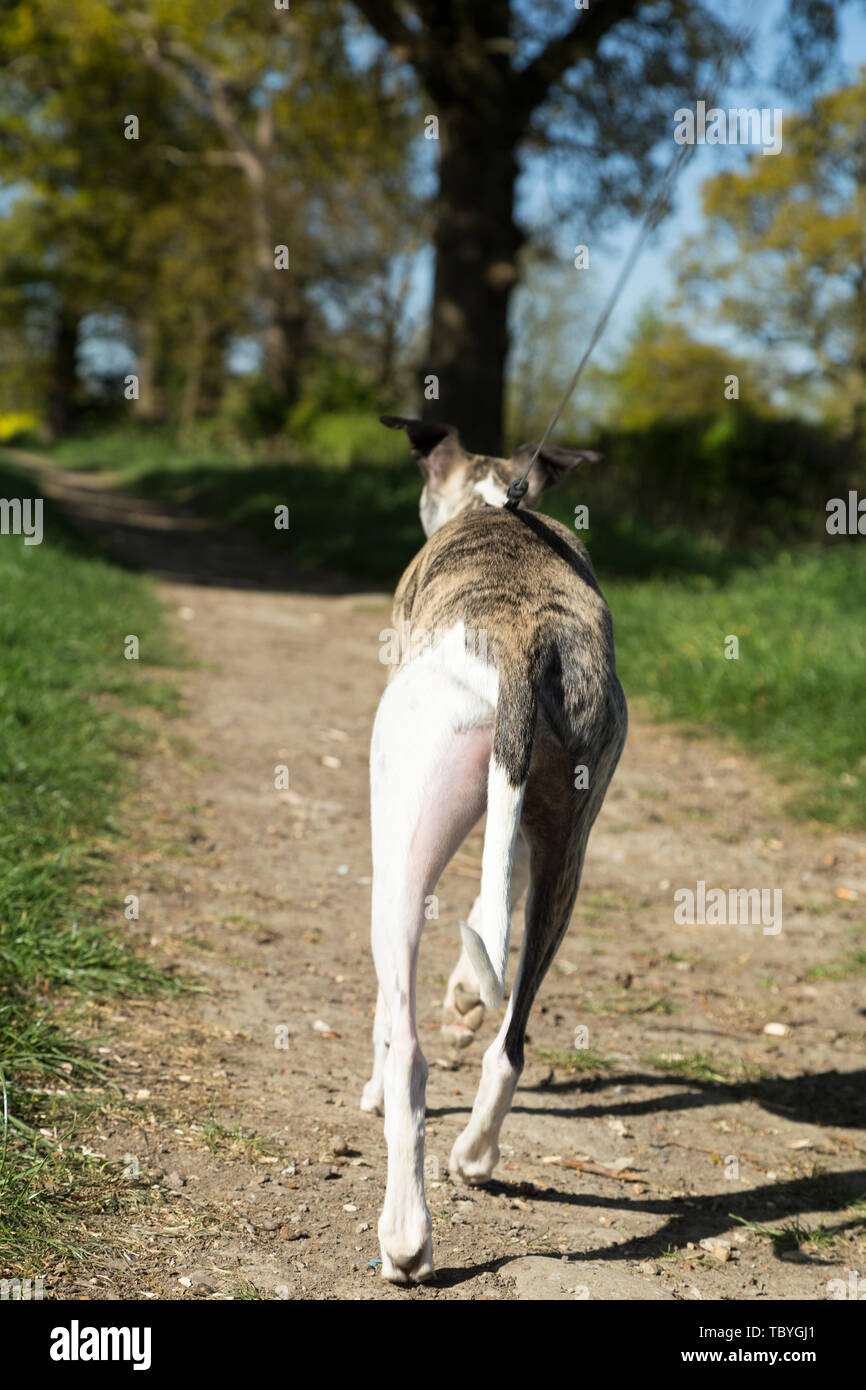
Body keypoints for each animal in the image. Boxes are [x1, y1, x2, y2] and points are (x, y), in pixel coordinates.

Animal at [361, 411, 625, 1278]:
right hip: (569, 848)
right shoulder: (527, 831)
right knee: (512, 1037)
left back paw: (406, 1236)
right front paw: (466, 994)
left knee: (408, 1051)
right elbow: (492, 908)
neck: (491, 502)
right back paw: (475, 1153)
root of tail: (520, 642)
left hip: (401, 847)